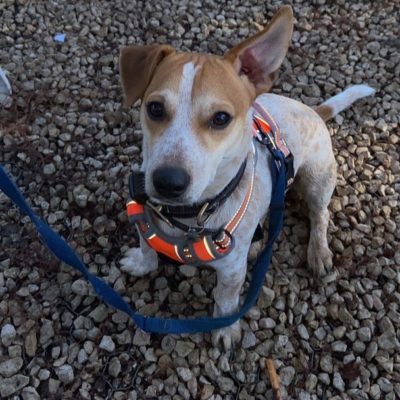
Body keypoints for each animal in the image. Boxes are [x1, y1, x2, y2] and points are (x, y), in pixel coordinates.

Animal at [118, 7, 376, 350]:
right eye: (155, 108)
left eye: (221, 118)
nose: (168, 182)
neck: (187, 217)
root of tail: (315, 111)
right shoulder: (142, 215)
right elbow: (147, 247)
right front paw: (141, 263)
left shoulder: (231, 269)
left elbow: (226, 298)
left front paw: (225, 329)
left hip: (317, 179)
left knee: (320, 215)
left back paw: (318, 252)